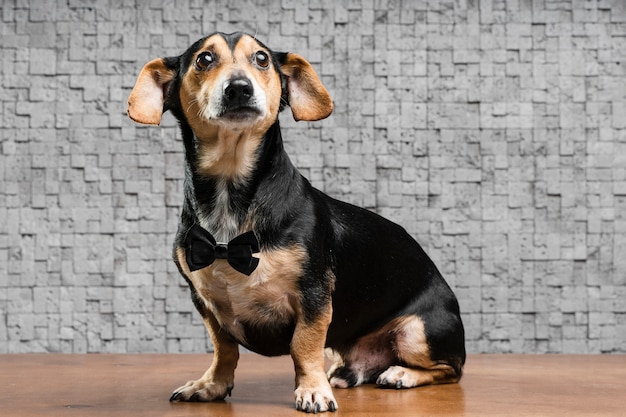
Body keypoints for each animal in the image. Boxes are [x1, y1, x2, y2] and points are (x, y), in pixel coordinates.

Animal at [127, 30, 464, 412]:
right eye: (204, 59)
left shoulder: (314, 296)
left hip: (417, 332)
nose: (239, 88)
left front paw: (312, 389)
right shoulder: (206, 302)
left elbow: (303, 346)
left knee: (450, 369)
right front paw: (211, 384)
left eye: (261, 59)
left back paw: (401, 373)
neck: (231, 189)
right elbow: (224, 349)